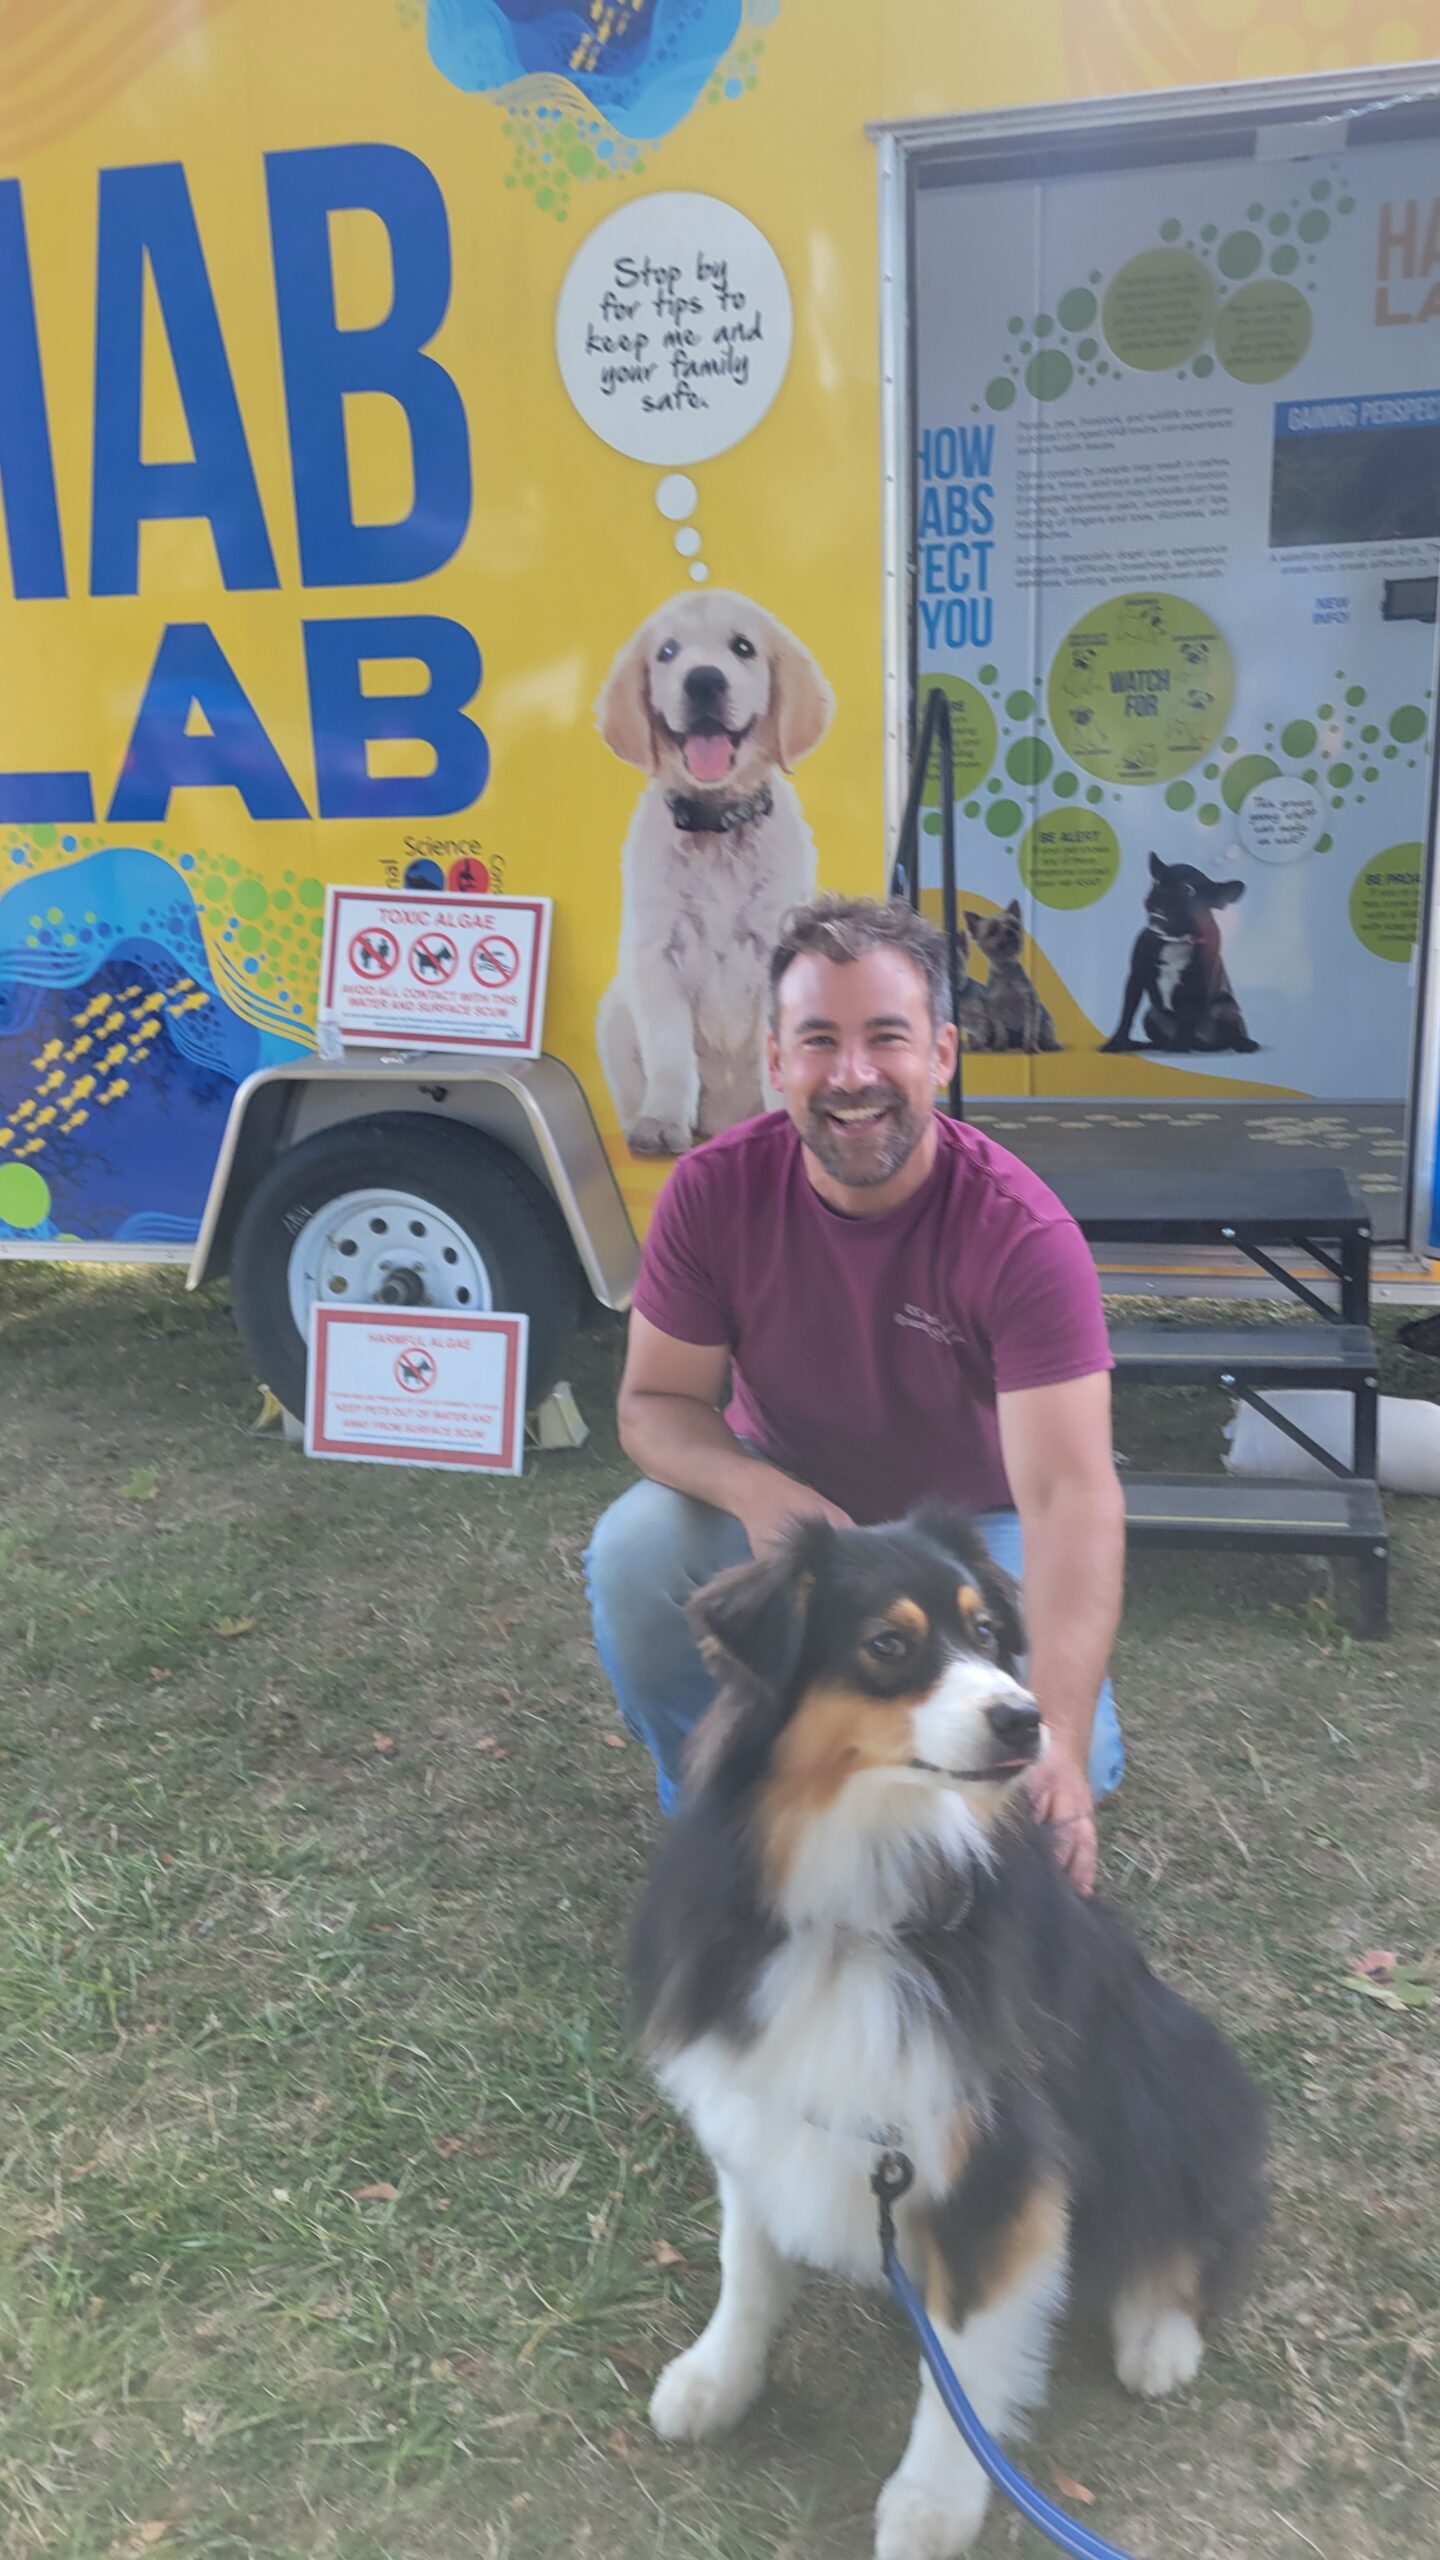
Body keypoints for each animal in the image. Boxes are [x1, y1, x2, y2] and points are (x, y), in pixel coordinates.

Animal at [595, 589, 833, 1156]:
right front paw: (662, 1120)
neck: (717, 828)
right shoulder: (656, 954)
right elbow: (669, 1050)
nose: (703, 680)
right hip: (614, 1013)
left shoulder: (780, 949)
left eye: (743, 647)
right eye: (667, 652)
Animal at [631, 1510, 1265, 2560]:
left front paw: (932, 2501)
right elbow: (746, 2263)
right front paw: (717, 2379)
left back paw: (1158, 2338)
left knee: (1184, 2226)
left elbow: (962, 2356)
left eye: (986, 1632)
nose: (1025, 1718)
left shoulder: (999, 2162)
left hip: (1177, 2066)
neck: (865, 1904)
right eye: (888, 1645)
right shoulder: (759, 2091)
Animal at [963, 900, 1059, 1052]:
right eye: (992, 931)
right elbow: (1000, 1028)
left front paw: (1030, 1046)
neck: (1006, 969)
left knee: (1045, 1032)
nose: (1009, 931)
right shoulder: (995, 1007)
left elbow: (1030, 1028)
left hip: (1046, 1022)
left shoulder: (1029, 1004)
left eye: (1013, 925)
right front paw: (1000, 1045)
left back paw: (1050, 1044)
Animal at [1104, 853, 1259, 1053]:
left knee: (1231, 1035)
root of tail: (1205, 1044)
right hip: (1150, 1015)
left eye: (1188, 889)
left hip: (1227, 1007)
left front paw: (1179, 1046)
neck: (1174, 939)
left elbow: (1187, 1017)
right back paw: (1146, 1045)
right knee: (1159, 1038)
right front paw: (1117, 1042)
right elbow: (1127, 1013)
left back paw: (1243, 1043)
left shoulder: (1196, 985)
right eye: (1156, 882)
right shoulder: (1136, 978)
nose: (1160, 892)